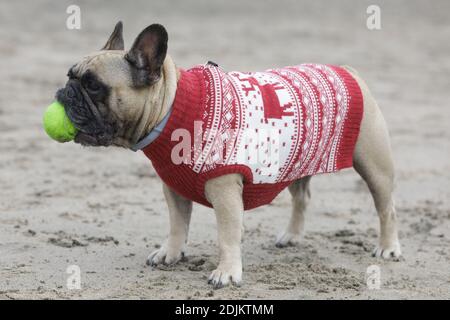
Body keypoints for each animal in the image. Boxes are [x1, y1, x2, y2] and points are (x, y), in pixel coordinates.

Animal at [54, 21, 402, 288]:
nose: (64, 92)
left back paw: (388, 248)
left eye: (93, 85)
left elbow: (227, 234)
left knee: (386, 208)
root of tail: (348, 70)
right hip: (297, 163)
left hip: (374, 166)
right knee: (302, 198)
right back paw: (292, 236)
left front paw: (226, 273)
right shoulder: (174, 188)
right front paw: (171, 253)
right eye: (70, 75)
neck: (172, 108)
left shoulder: (225, 192)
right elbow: (177, 224)